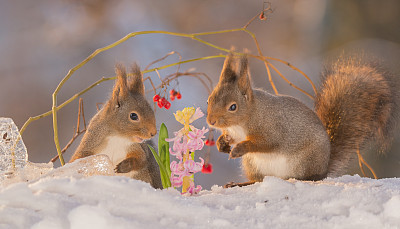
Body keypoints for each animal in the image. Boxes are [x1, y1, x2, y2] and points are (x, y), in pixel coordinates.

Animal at [208, 52, 398, 187]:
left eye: (233, 107)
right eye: (209, 100)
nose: (211, 121)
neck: (244, 120)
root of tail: (324, 167)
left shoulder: (272, 128)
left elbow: (266, 143)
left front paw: (239, 148)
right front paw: (222, 143)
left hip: (306, 161)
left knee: (308, 177)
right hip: (253, 165)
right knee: (258, 180)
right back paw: (238, 184)